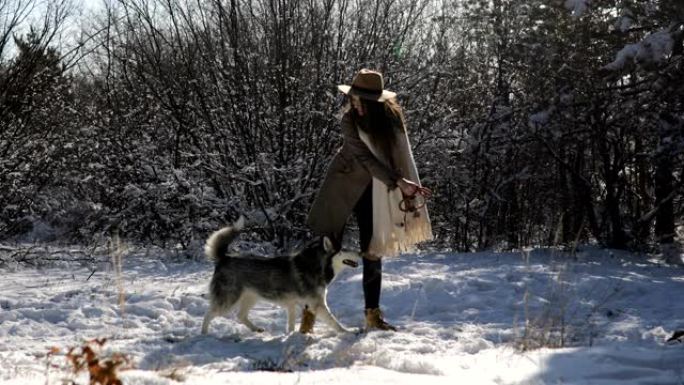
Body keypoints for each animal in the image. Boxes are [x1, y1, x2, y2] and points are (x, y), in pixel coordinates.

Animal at [200, 218, 360, 334]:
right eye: (345, 249)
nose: (360, 252)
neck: (316, 265)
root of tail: (224, 257)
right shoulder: (317, 304)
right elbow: (334, 321)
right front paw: (348, 331)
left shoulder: (293, 304)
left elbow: (291, 325)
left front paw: (291, 336)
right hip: (229, 300)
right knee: (208, 314)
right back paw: (204, 335)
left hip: (251, 297)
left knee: (240, 316)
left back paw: (256, 329)